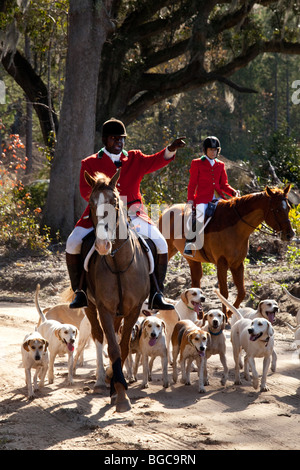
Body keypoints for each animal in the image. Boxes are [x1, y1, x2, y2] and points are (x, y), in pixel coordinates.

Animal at [82, 170, 149, 412]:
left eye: (114, 202)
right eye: (91, 204)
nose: (102, 245)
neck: (119, 263)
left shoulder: (133, 310)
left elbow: (123, 347)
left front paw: (118, 387)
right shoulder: (104, 309)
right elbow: (113, 348)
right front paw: (120, 394)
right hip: (90, 307)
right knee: (98, 336)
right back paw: (102, 380)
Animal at [161, 185, 294, 314]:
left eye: (288, 208)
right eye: (277, 210)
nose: (290, 234)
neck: (235, 227)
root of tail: (167, 210)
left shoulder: (237, 264)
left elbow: (242, 292)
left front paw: (231, 313)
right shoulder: (222, 263)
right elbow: (224, 293)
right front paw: (225, 317)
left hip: (192, 259)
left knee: (196, 282)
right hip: (168, 251)